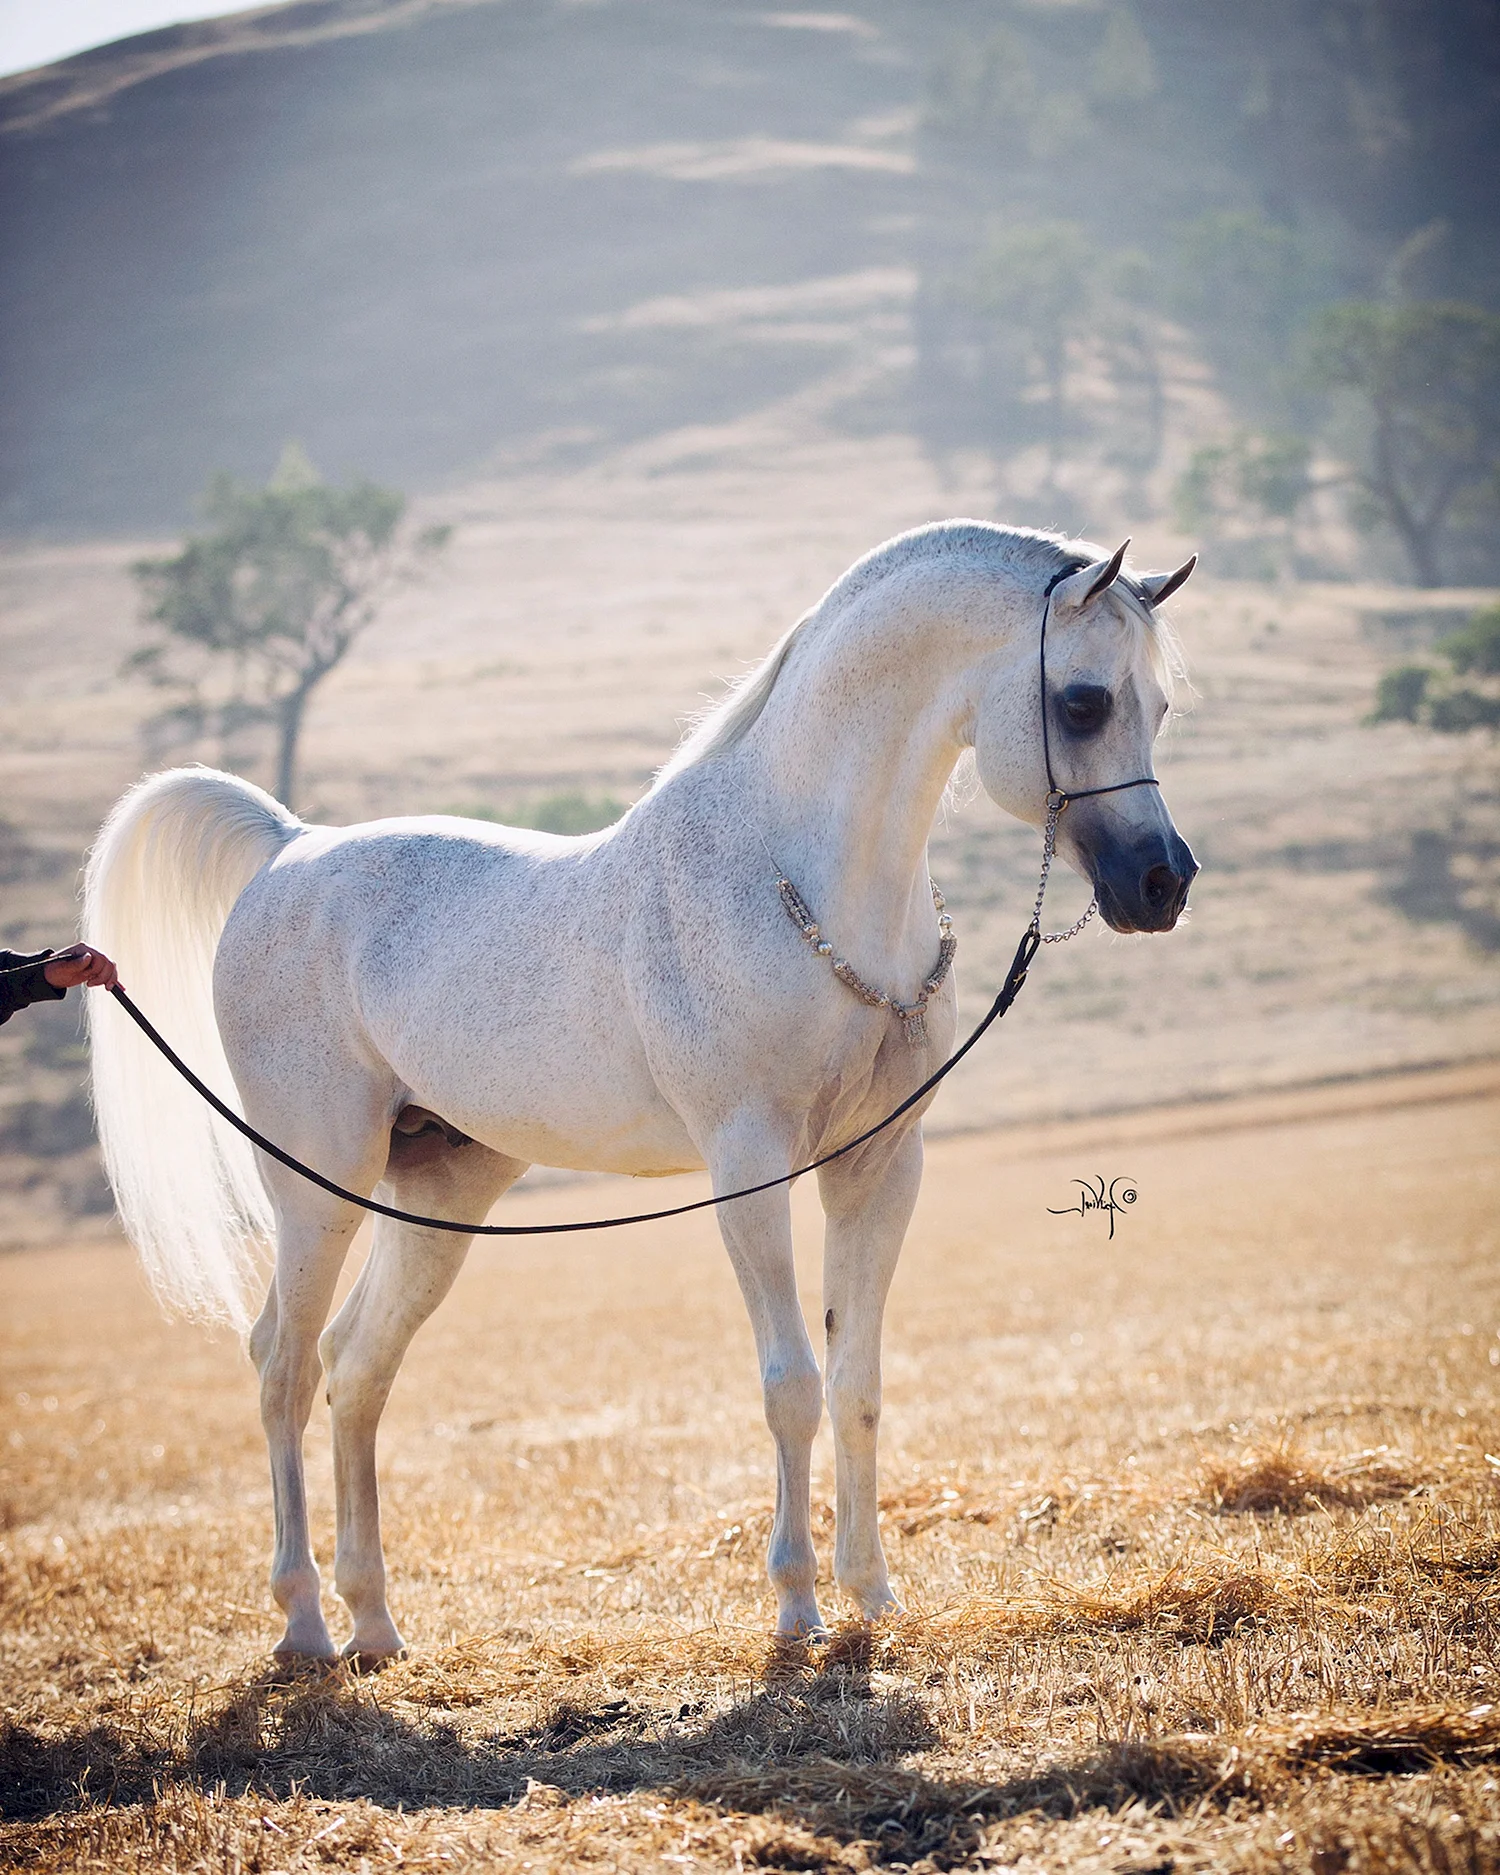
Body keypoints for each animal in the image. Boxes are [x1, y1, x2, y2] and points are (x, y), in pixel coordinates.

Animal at [90, 525, 1192, 1657]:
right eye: (1082, 702)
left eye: (1158, 705)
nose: (1162, 884)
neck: (796, 872)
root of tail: (290, 848)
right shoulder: (749, 1165)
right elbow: (791, 1384)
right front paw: (796, 1604)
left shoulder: (880, 1167)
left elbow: (858, 1383)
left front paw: (873, 1595)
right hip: (317, 1189)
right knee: (283, 1366)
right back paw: (306, 1623)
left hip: (440, 1191)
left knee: (356, 1367)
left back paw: (377, 1625)